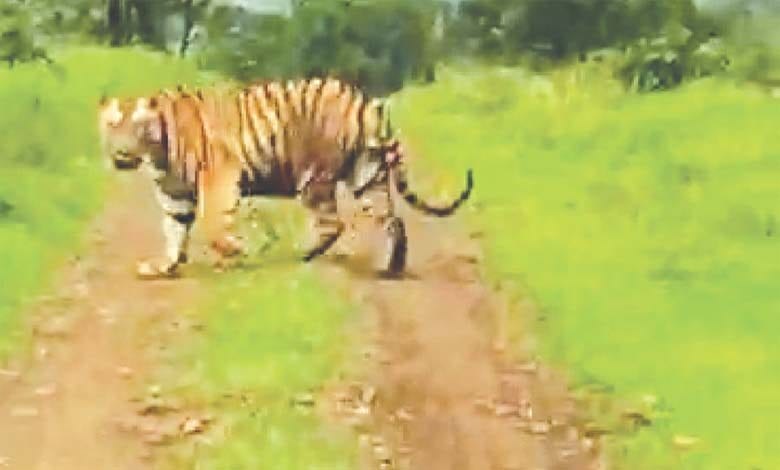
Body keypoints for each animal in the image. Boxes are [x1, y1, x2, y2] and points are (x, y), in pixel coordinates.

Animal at [97, 77, 473, 279]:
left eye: (137, 130)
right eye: (111, 128)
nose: (121, 155)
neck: (158, 154)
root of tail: (365, 102)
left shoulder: (218, 174)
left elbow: (214, 223)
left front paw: (236, 250)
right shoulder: (175, 193)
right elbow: (174, 229)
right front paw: (164, 266)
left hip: (315, 178)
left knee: (333, 223)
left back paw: (298, 254)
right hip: (368, 174)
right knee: (392, 220)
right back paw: (391, 268)